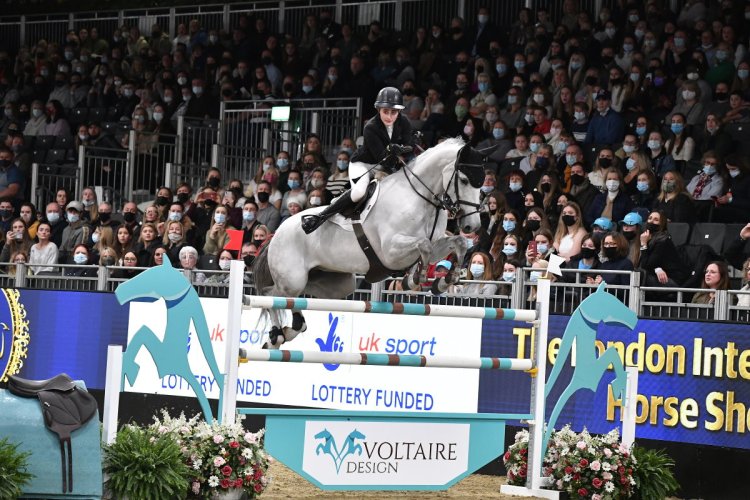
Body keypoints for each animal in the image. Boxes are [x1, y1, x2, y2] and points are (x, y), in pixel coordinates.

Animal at [252, 138, 487, 348]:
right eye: (464, 180)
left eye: (482, 184)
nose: (472, 225)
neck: (421, 199)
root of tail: (277, 233)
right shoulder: (390, 252)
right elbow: (424, 246)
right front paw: (414, 279)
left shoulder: (435, 245)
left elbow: (457, 243)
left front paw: (446, 280)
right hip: (293, 279)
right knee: (270, 295)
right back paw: (276, 336)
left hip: (332, 283)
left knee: (292, 305)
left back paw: (283, 334)